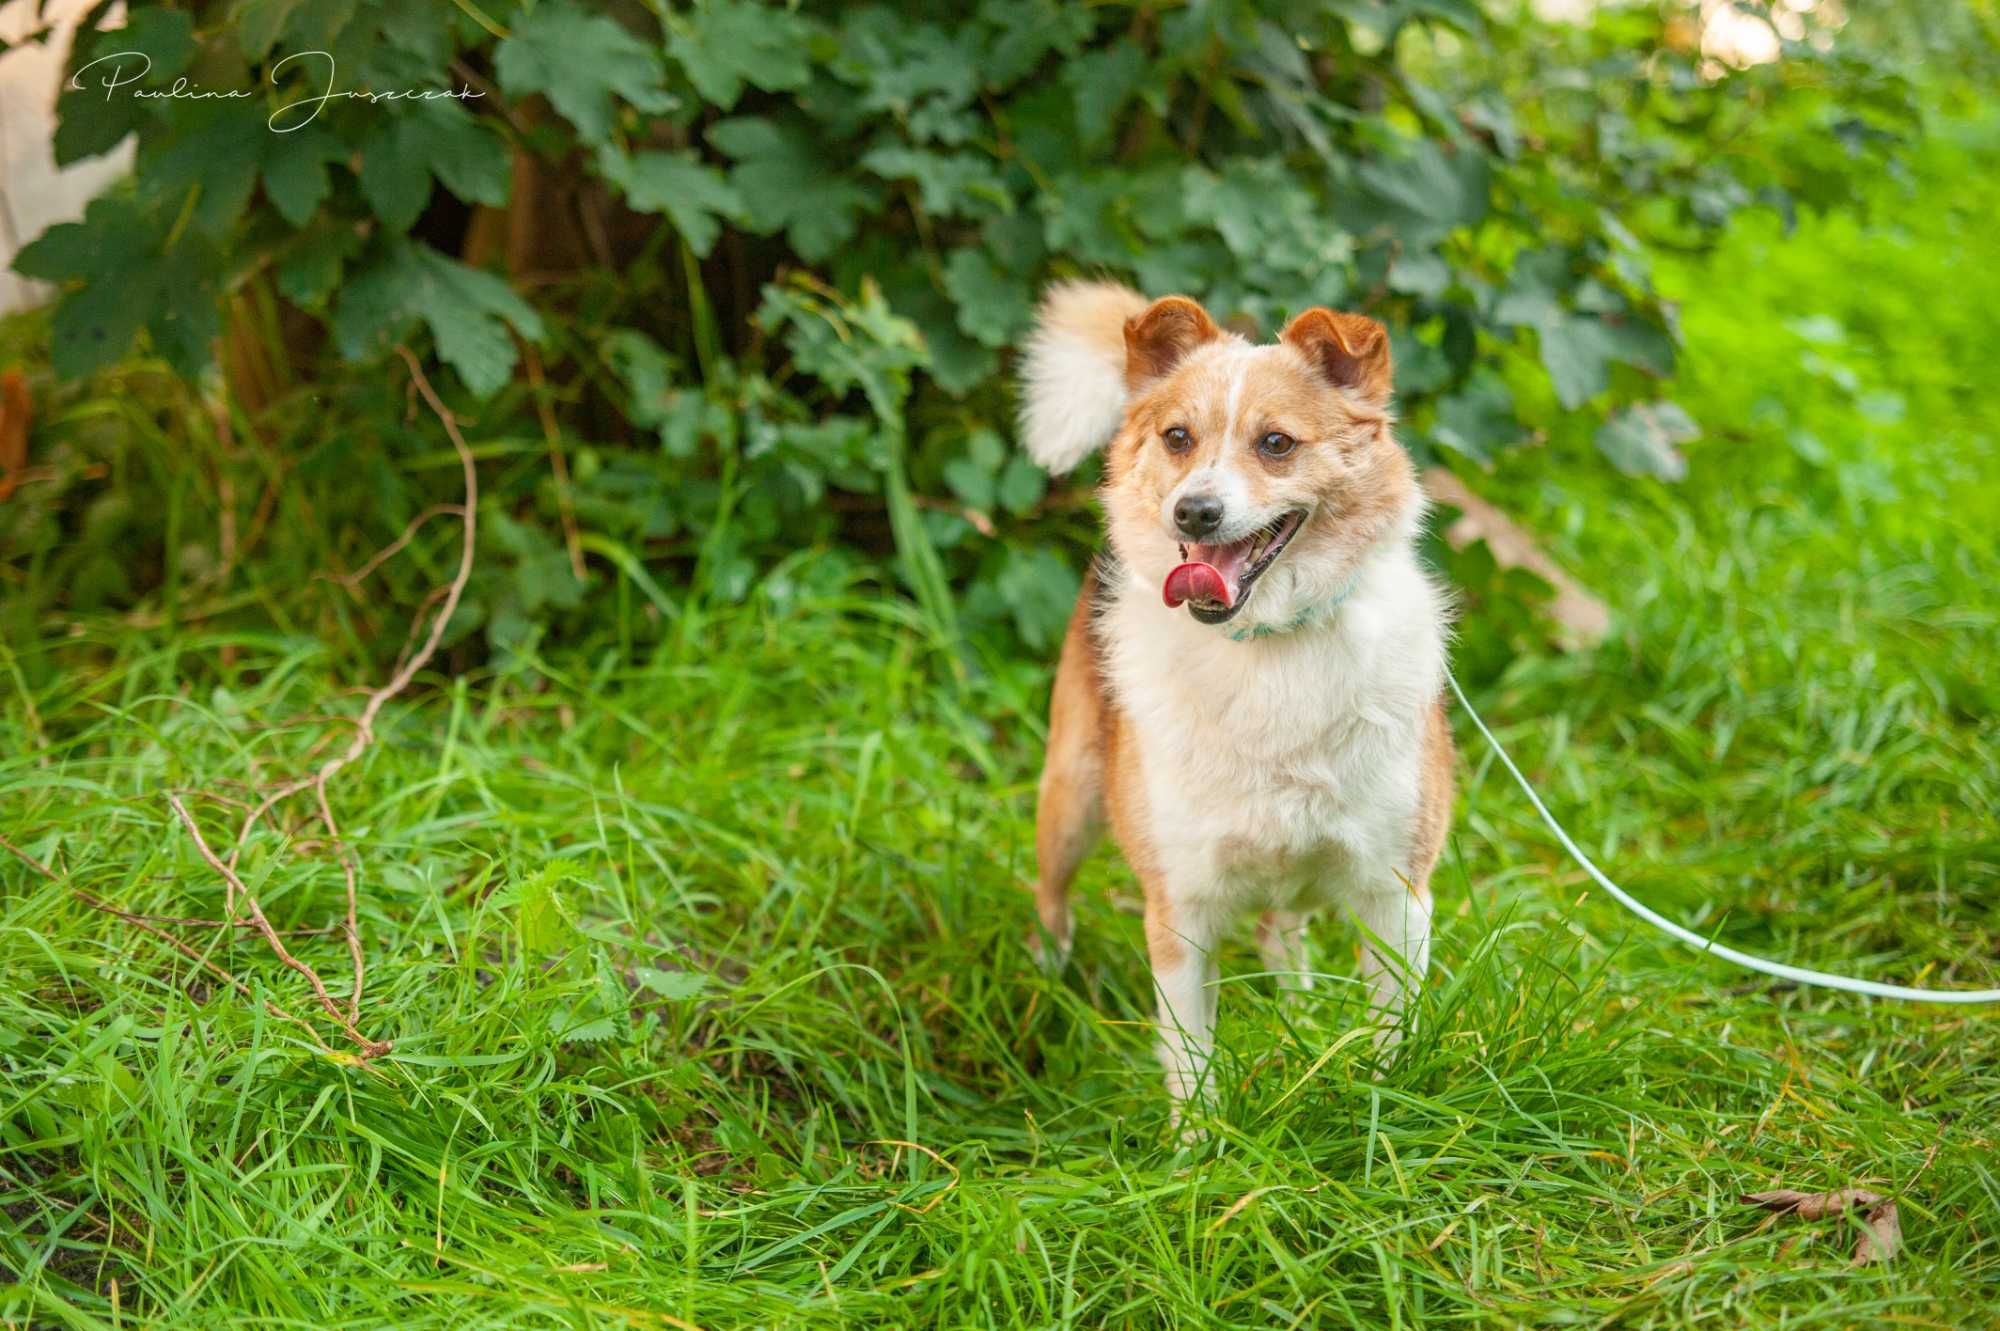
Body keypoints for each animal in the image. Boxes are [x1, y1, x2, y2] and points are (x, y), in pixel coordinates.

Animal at [1016, 281, 1456, 1111]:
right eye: (1178, 437)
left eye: (1276, 443)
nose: (1194, 511)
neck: (1266, 645)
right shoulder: (1179, 913)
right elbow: (1192, 1064)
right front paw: (1199, 1142)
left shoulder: (1396, 895)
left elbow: (1394, 1035)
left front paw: (1388, 1107)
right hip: (1070, 797)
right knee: (1051, 902)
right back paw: (1044, 985)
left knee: (1281, 934)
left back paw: (1302, 1015)